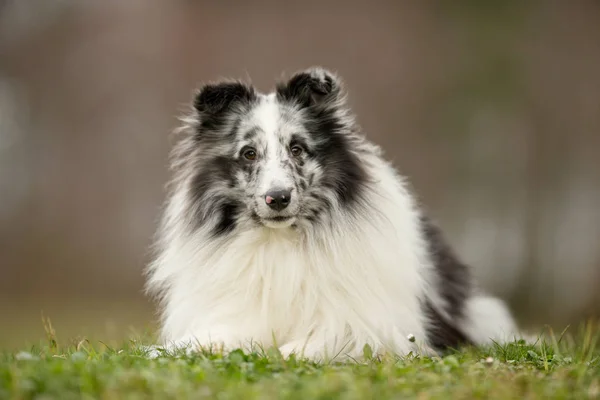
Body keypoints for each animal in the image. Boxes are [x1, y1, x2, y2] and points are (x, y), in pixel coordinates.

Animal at [146, 67, 524, 360]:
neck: (282, 242)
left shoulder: (375, 324)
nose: (277, 198)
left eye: (297, 149)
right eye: (249, 153)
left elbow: (331, 337)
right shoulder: (240, 316)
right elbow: (216, 337)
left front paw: (291, 352)